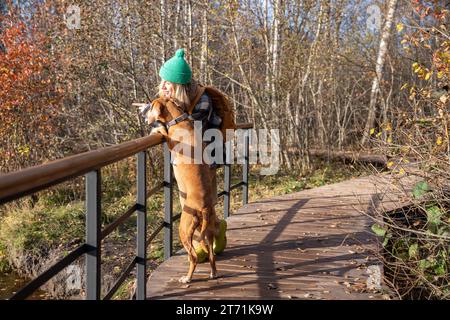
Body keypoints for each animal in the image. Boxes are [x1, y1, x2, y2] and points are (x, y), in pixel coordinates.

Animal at [145, 97, 217, 282]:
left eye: (151, 106)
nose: (145, 115)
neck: (179, 121)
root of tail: (204, 207)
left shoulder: (171, 142)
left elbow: (164, 133)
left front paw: (158, 129)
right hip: (207, 230)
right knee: (211, 252)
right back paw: (213, 272)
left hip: (184, 229)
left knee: (194, 256)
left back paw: (187, 278)